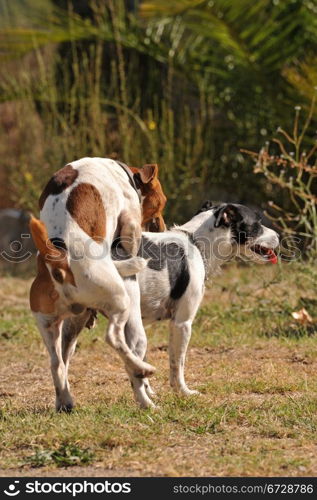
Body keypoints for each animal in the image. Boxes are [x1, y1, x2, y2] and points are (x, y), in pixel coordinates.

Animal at [29, 156, 167, 410]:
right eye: (162, 202)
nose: (162, 227)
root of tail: (58, 262)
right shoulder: (130, 222)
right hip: (121, 302)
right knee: (115, 339)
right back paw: (144, 378)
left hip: (51, 325)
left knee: (57, 363)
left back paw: (65, 402)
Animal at [112, 201, 278, 408]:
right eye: (257, 223)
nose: (279, 236)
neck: (197, 243)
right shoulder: (182, 323)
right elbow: (177, 364)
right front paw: (183, 392)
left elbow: (142, 365)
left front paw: (151, 390)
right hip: (136, 331)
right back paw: (147, 406)